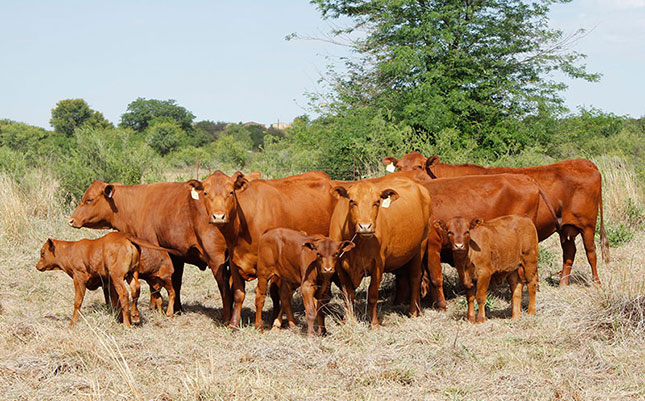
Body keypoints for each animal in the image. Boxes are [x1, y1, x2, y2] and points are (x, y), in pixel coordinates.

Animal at [35, 231, 180, 324]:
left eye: (42, 253)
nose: (37, 266)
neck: (71, 251)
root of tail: (125, 236)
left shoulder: (79, 278)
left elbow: (78, 302)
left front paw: (72, 324)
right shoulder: (108, 283)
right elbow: (113, 302)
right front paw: (118, 318)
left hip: (118, 276)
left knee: (125, 294)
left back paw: (128, 324)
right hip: (132, 274)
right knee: (136, 290)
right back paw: (134, 316)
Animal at [68, 178, 239, 322]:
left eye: (89, 199)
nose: (71, 220)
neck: (136, 204)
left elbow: (153, 283)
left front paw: (154, 307)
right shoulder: (175, 255)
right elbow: (176, 282)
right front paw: (177, 309)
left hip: (217, 260)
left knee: (224, 287)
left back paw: (226, 319)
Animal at [187, 170, 334, 326]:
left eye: (231, 192)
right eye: (206, 193)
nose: (219, 216)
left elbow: (274, 293)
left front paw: (272, 321)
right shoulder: (234, 261)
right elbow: (238, 293)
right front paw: (233, 323)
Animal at [328, 173, 432, 326]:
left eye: (377, 202)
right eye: (352, 201)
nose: (365, 226)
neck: (357, 245)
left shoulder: (378, 264)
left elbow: (372, 295)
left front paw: (374, 324)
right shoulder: (340, 265)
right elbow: (348, 295)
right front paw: (348, 320)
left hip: (420, 247)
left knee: (415, 278)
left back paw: (413, 311)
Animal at [382, 152, 608, 286]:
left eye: (419, 166)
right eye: (399, 167)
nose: (401, 180)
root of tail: (585, 163)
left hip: (588, 225)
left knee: (591, 253)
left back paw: (596, 283)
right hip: (565, 228)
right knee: (569, 252)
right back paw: (562, 284)